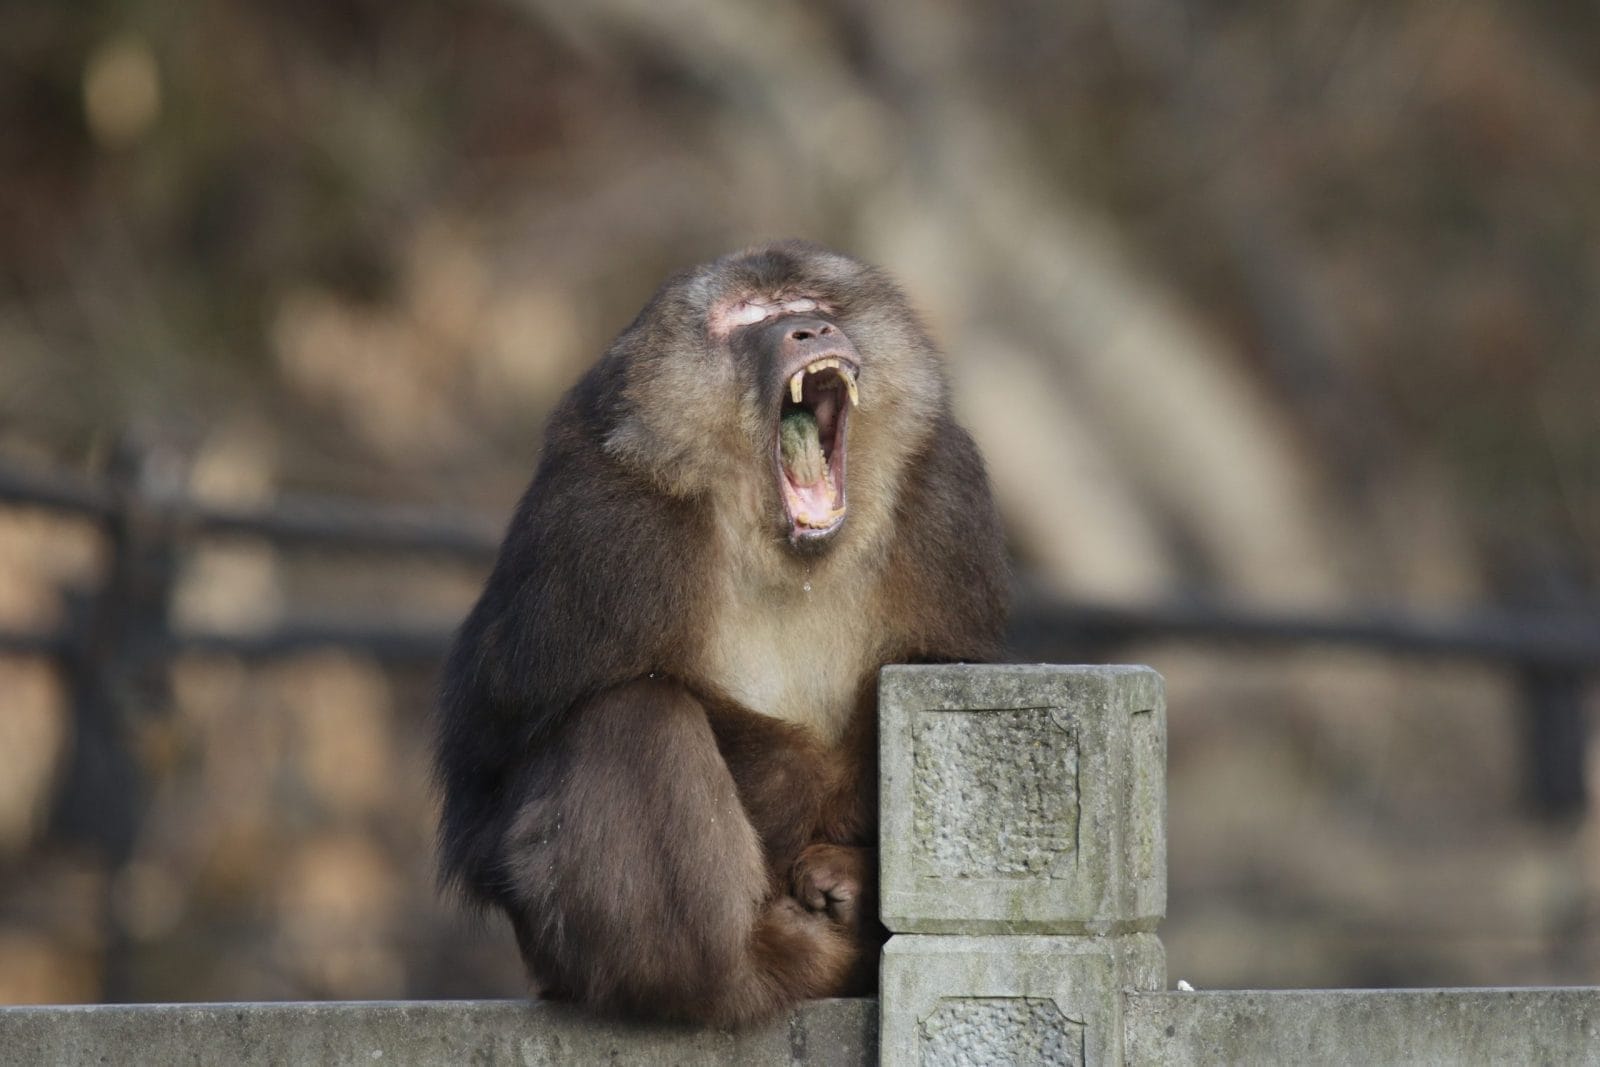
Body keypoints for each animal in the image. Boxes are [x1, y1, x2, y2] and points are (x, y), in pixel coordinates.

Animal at [434, 240, 1007, 1026]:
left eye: (811, 305)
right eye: (748, 316)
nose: (809, 330)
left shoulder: (946, 496)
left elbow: (945, 671)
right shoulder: (598, 526)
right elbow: (488, 756)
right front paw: (813, 784)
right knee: (632, 714)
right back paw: (755, 966)